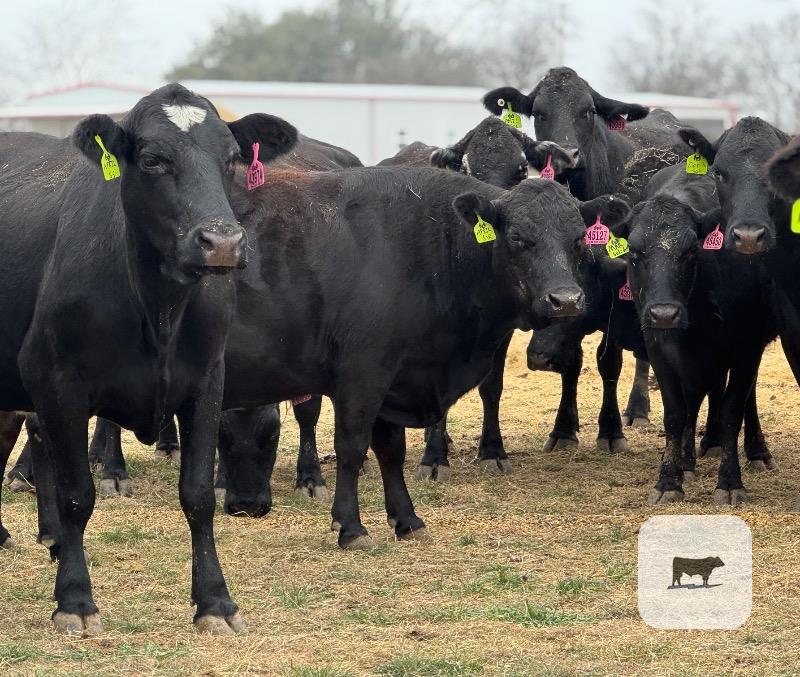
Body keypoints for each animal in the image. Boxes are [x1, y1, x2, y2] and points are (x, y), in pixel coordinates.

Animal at [0, 84, 298, 636]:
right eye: (153, 160)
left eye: (232, 159)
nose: (222, 242)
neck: (158, 310)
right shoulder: (56, 380)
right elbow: (78, 494)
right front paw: (75, 600)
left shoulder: (207, 381)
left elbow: (199, 495)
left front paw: (215, 602)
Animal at [625, 162, 777, 506]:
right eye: (634, 252)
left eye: (691, 249)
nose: (664, 313)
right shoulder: (659, 348)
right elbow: (675, 413)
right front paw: (670, 479)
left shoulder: (747, 347)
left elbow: (733, 409)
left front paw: (729, 481)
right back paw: (692, 457)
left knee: (744, 398)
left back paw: (754, 450)